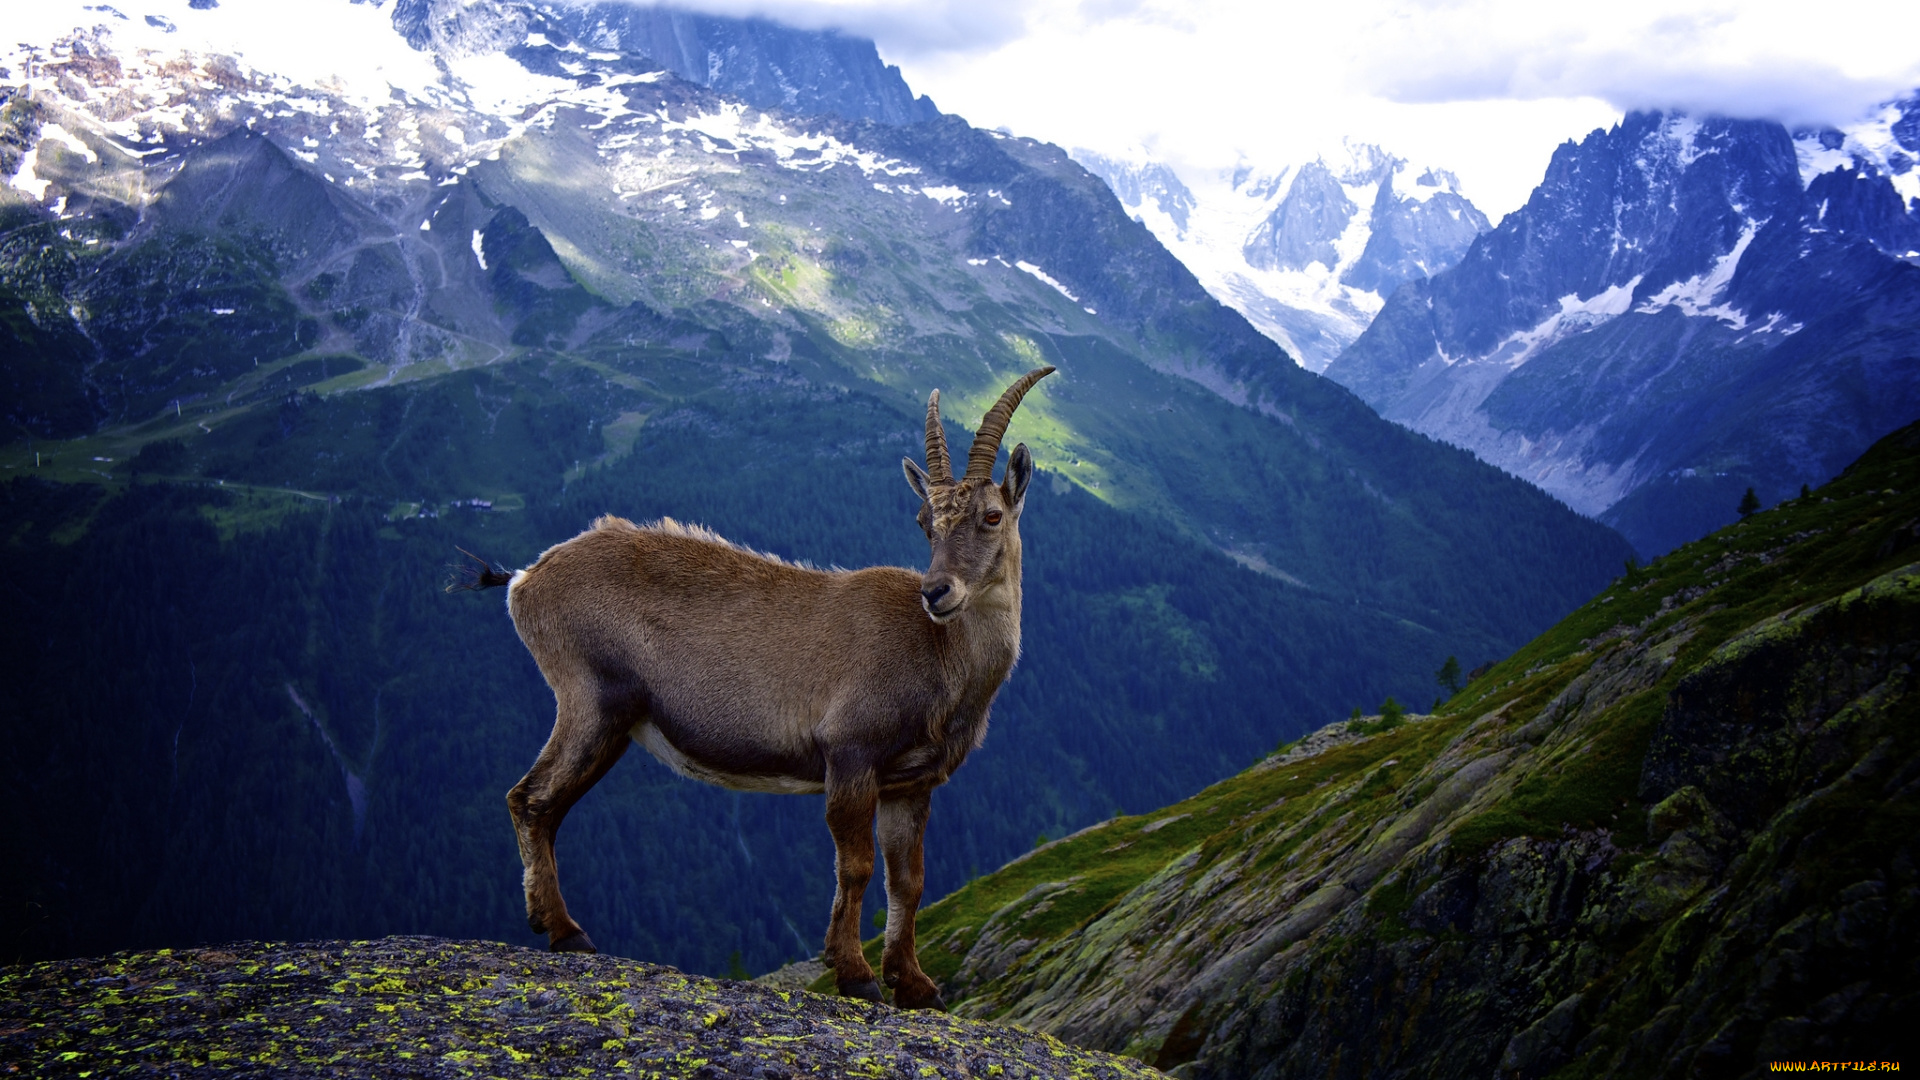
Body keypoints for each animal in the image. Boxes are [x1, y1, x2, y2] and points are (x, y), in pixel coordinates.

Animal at [451, 366, 1055, 1010]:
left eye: (991, 516)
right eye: (924, 523)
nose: (936, 592)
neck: (940, 657)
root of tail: (525, 579)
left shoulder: (912, 782)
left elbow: (908, 880)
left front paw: (914, 984)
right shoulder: (850, 754)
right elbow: (856, 866)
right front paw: (856, 974)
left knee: (544, 803)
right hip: (590, 698)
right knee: (531, 798)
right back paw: (568, 932)